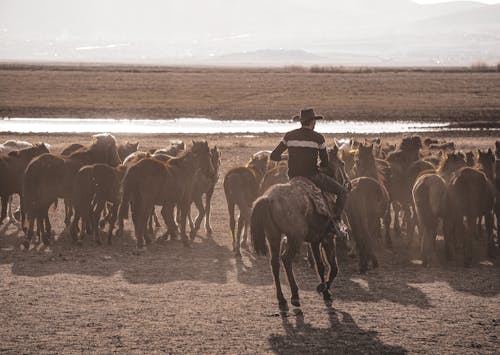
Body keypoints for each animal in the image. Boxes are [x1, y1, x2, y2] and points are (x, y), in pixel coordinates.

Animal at [249, 147, 350, 312]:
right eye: (342, 163)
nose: (349, 184)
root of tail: (269, 199)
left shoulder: (315, 240)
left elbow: (320, 266)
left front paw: (325, 291)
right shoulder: (328, 238)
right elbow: (334, 267)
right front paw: (323, 288)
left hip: (273, 236)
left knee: (275, 262)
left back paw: (282, 300)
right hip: (295, 238)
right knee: (286, 259)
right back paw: (295, 296)